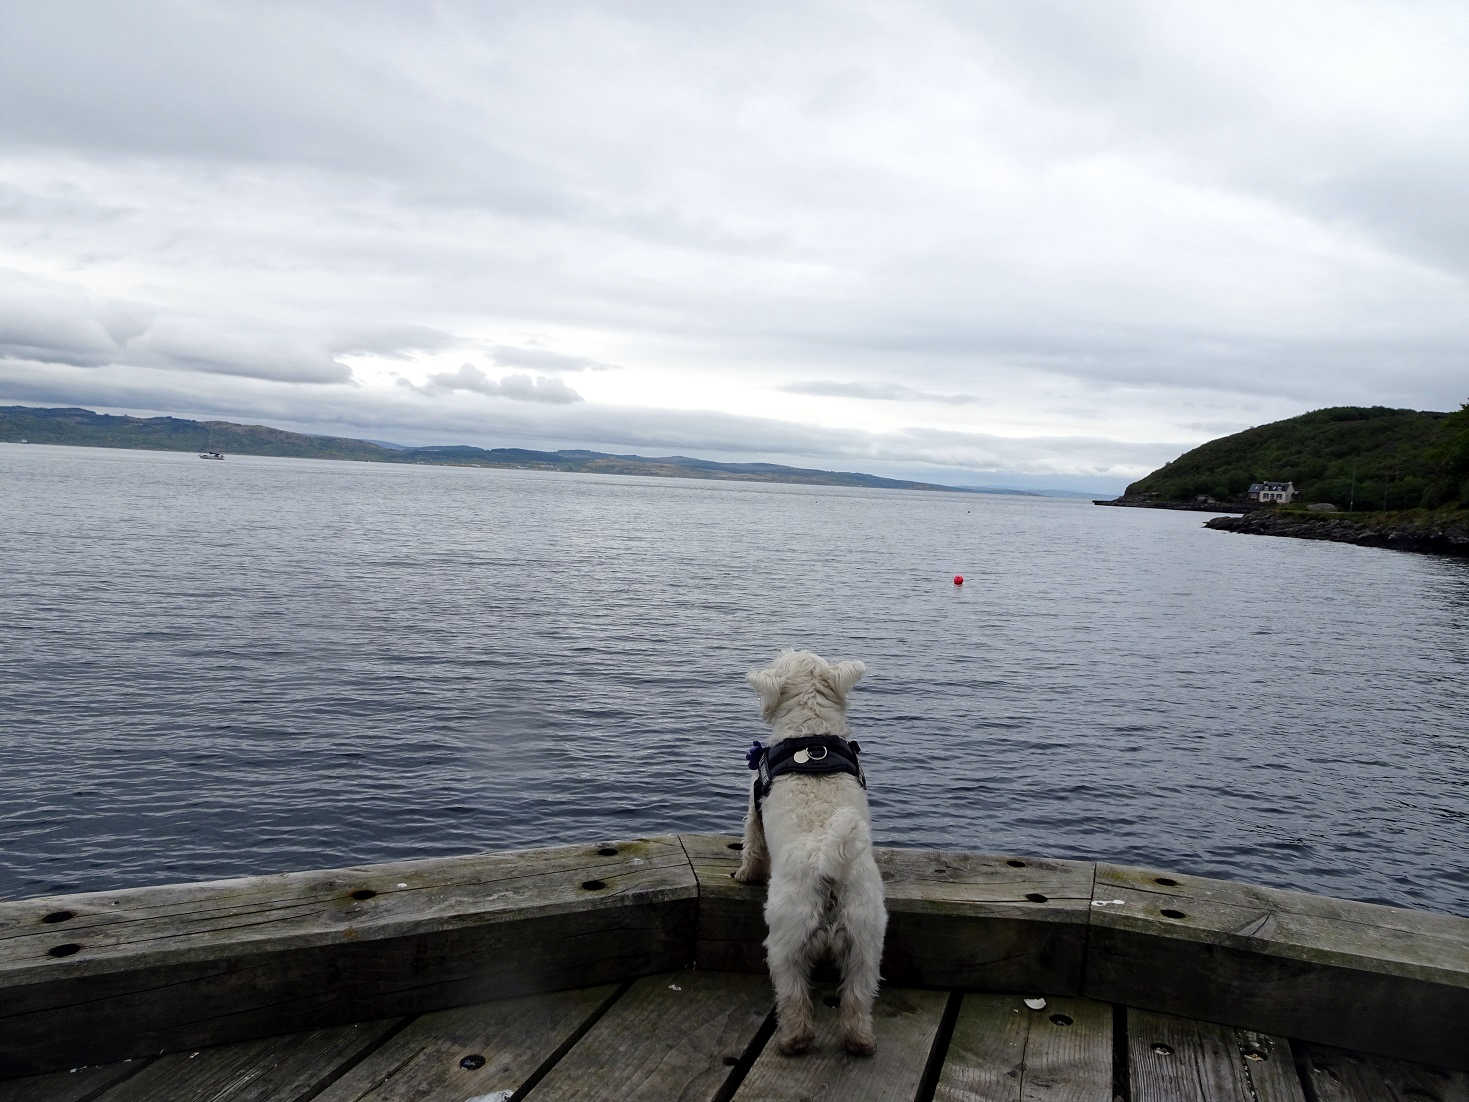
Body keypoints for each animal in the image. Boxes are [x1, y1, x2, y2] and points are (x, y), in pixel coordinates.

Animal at [731, 652, 881, 1057]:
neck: (810, 733)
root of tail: (830, 866)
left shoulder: (754, 807)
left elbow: (752, 846)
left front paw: (744, 874)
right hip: (865, 940)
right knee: (858, 997)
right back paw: (859, 1041)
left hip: (787, 938)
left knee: (794, 993)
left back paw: (794, 1039)